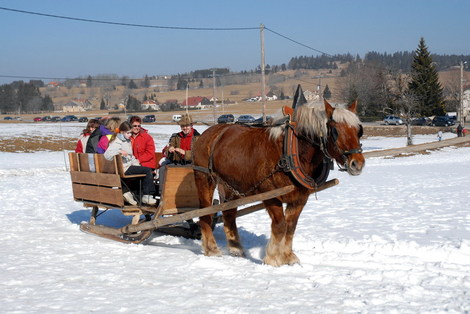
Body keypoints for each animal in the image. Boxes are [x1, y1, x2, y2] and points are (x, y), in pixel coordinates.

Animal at [193, 97, 366, 266]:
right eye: (335, 131)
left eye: (359, 130)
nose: (357, 163)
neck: (291, 152)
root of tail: (208, 133)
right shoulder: (270, 195)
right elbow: (280, 226)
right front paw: (273, 258)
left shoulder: (299, 198)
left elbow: (290, 227)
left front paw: (288, 257)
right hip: (204, 178)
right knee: (205, 212)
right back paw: (211, 248)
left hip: (229, 184)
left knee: (228, 213)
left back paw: (236, 249)